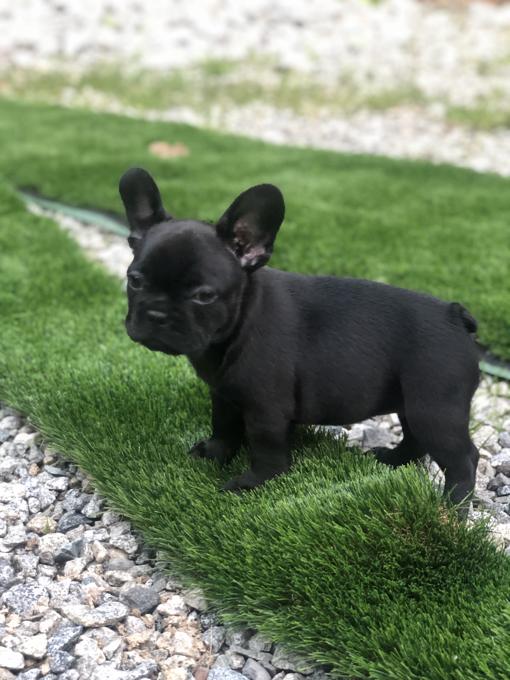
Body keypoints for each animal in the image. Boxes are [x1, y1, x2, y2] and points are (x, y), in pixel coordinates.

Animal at [121, 169, 480, 510]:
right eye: (134, 280)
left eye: (204, 296)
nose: (156, 313)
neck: (241, 321)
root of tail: (454, 314)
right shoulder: (223, 393)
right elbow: (223, 425)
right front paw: (215, 453)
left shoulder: (266, 408)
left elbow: (266, 447)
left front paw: (254, 482)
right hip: (412, 401)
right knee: (415, 439)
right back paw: (391, 459)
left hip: (433, 406)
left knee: (462, 459)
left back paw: (451, 508)